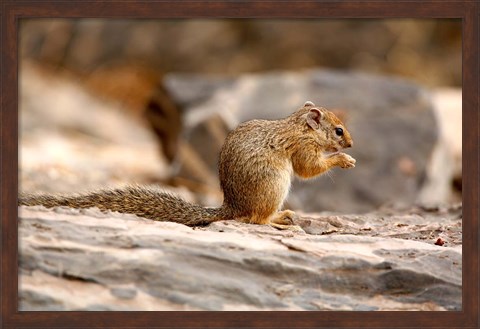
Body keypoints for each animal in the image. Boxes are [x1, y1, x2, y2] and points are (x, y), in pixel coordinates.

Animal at [18, 100, 354, 228]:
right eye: (338, 130)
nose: (351, 144)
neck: (299, 126)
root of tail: (231, 206)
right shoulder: (303, 148)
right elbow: (309, 169)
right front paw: (344, 159)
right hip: (275, 185)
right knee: (256, 219)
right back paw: (279, 218)